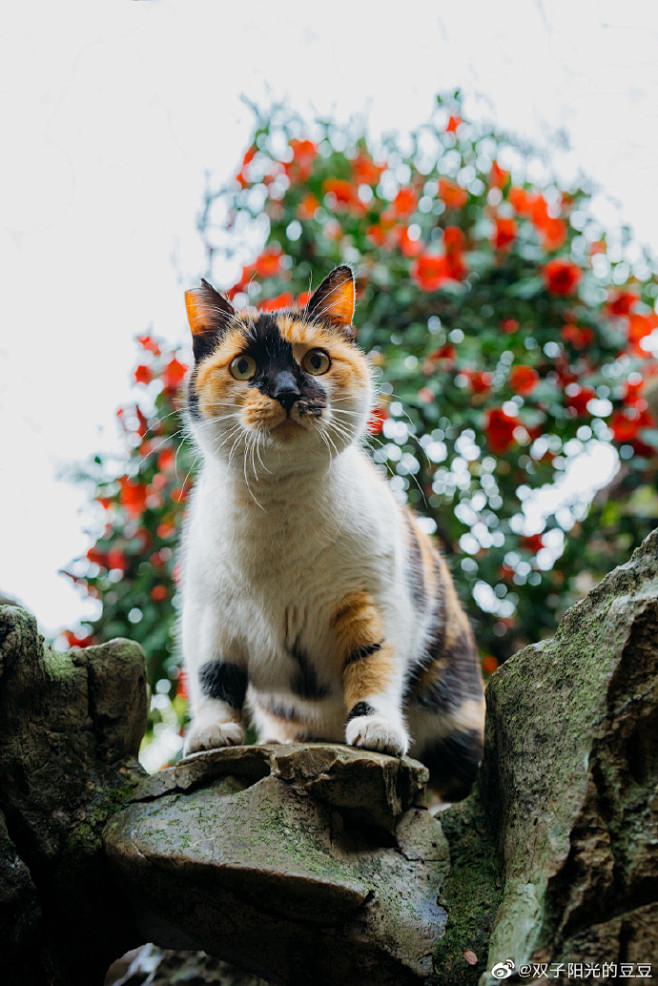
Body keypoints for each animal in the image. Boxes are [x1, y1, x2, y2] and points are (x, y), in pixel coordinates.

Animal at [179, 264, 482, 800]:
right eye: (243, 367)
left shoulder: (376, 598)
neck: (280, 510)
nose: (285, 392)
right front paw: (213, 732)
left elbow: (373, 664)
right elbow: (212, 674)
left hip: (456, 713)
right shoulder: (207, 612)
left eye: (317, 361)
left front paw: (377, 729)